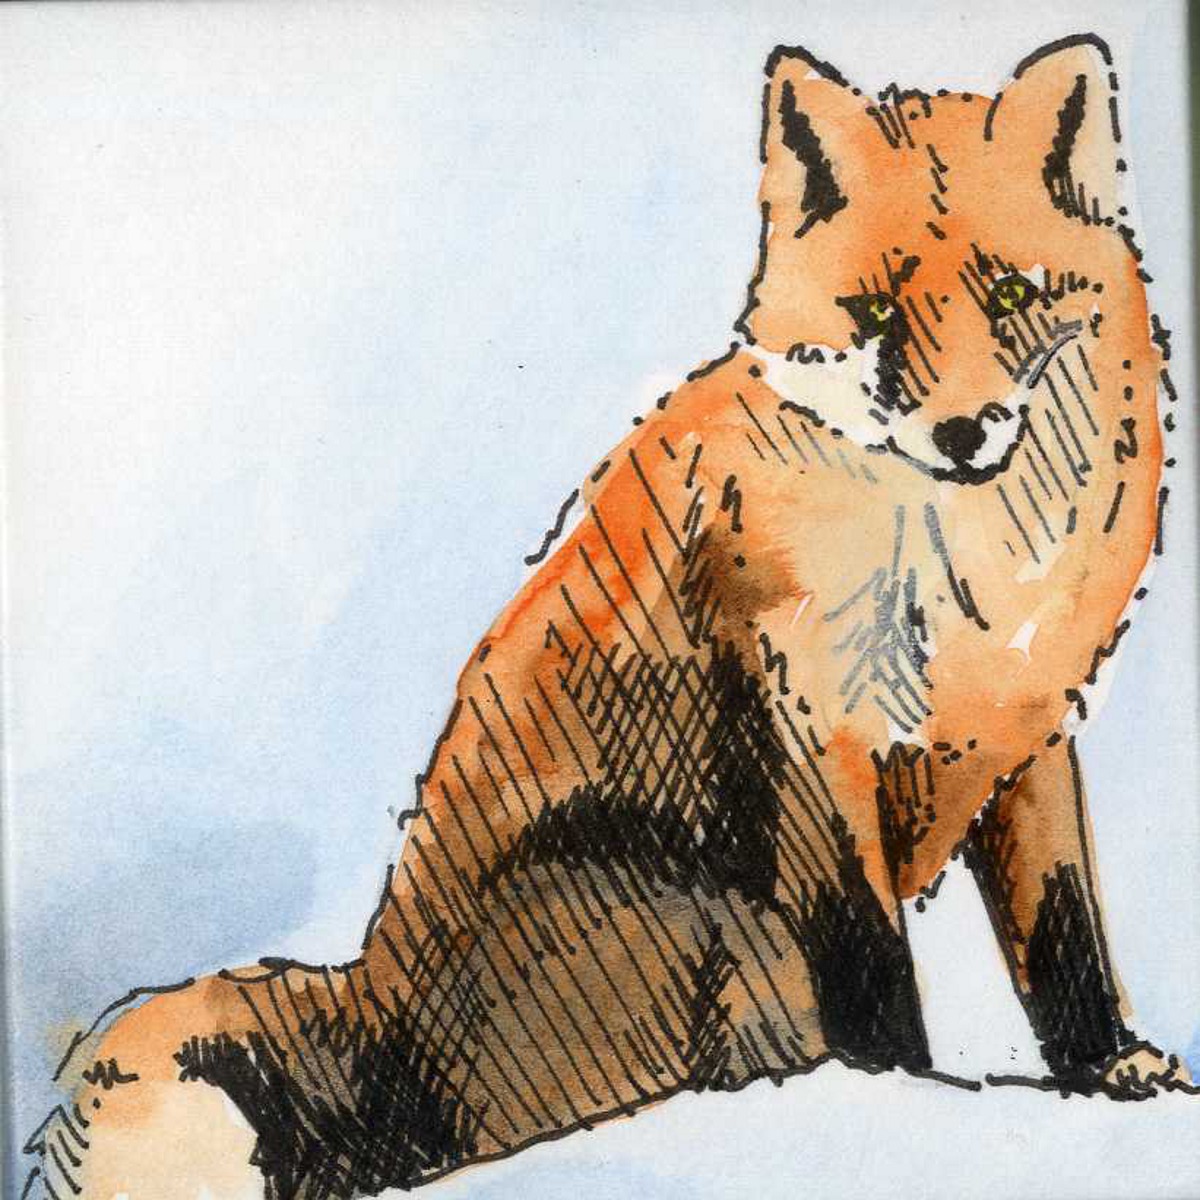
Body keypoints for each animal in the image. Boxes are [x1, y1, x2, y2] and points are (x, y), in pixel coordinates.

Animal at [24, 32, 1192, 1200]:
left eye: (1012, 293)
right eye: (873, 319)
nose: (961, 431)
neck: (967, 581)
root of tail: (382, 1027)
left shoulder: (1031, 735)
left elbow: (1065, 931)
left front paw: (1107, 1069)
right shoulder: (809, 740)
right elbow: (870, 963)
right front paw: (898, 1100)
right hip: (699, 910)